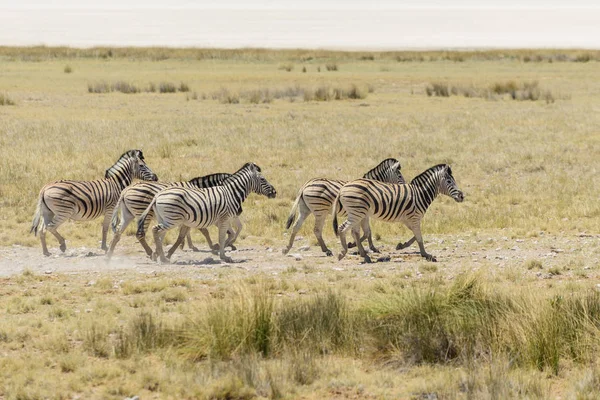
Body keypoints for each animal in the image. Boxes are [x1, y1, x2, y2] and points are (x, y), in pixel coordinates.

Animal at [30, 150, 158, 256]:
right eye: (142, 165)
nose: (156, 177)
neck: (117, 184)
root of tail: (45, 187)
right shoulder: (111, 208)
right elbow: (106, 227)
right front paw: (105, 247)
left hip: (48, 211)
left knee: (42, 229)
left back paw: (46, 252)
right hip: (64, 211)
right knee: (50, 227)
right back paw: (62, 245)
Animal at [105, 171, 239, 260]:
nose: (231, 245)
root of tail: (126, 190)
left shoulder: (189, 215)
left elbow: (186, 231)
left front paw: (186, 245)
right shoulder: (197, 212)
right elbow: (204, 230)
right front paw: (214, 247)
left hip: (128, 214)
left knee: (119, 232)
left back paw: (109, 254)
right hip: (143, 213)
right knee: (140, 233)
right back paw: (151, 253)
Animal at [138, 161, 276, 264]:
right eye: (263, 179)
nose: (274, 192)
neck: (231, 193)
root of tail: (157, 195)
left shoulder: (221, 220)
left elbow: (229, 235)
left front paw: (219, 249)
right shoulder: (224, 218)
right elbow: (222, 237)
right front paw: (223, 256)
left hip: (164, 218)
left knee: (160, 234)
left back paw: (159, 255)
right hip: (172, 219)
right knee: (156, 230)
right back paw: (162, 258)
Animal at [332, 164, 464, 264]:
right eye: (449, 181)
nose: (462, 196)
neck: (420, 194)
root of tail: (343, 188)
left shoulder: (408, 219)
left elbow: (415, 236)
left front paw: (402, 245)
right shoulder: (414, 217)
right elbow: (419, 237)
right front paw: (426, 254)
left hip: (358, 213)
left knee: (354, 232)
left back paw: (364, 255)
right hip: (357, 212)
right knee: (342, 228)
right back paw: (343, 253)